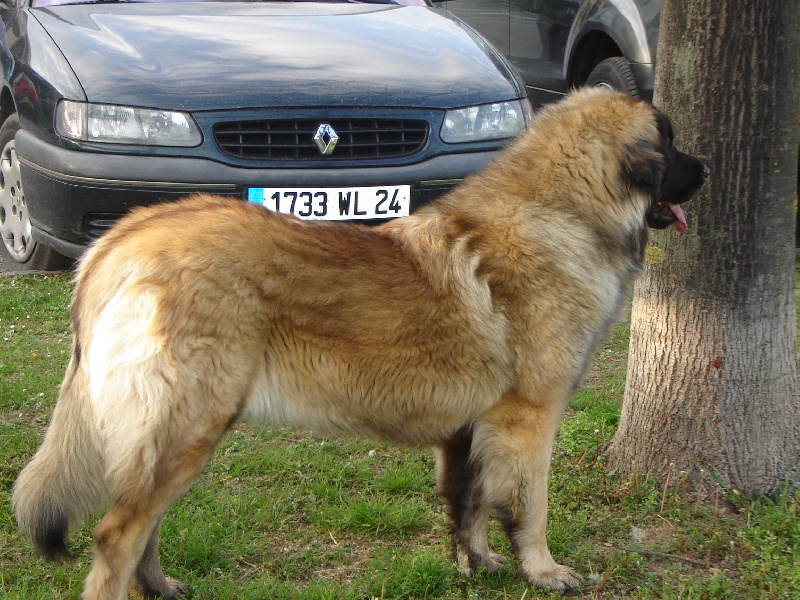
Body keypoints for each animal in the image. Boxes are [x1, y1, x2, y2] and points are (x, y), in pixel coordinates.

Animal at [13, 87, 707, 599]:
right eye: (671, 144)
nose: (706, 169)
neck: (564, 215)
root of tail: (123, 238)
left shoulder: (471, 427)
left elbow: (470, 501)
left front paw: (477, 565)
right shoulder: (529, 419)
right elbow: (529, 505)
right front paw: (543, 570)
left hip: (187, 429)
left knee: (143, 523)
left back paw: (160, 587)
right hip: (188, 422)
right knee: (116, 535)